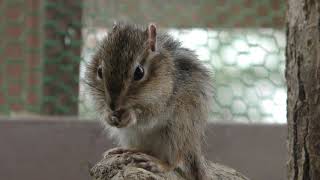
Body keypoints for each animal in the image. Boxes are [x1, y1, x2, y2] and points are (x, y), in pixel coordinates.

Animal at [85, 21, 212, 179]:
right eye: (99, 71)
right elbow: (102, 108)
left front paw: (131, 115)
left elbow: (150, 115)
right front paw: (108, 115)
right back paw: (124, 150)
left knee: (174, 160)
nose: (113, 106)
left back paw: (158, 163)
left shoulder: (164, 100)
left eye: (139, 72)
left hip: (178, 131)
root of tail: (193, 146)